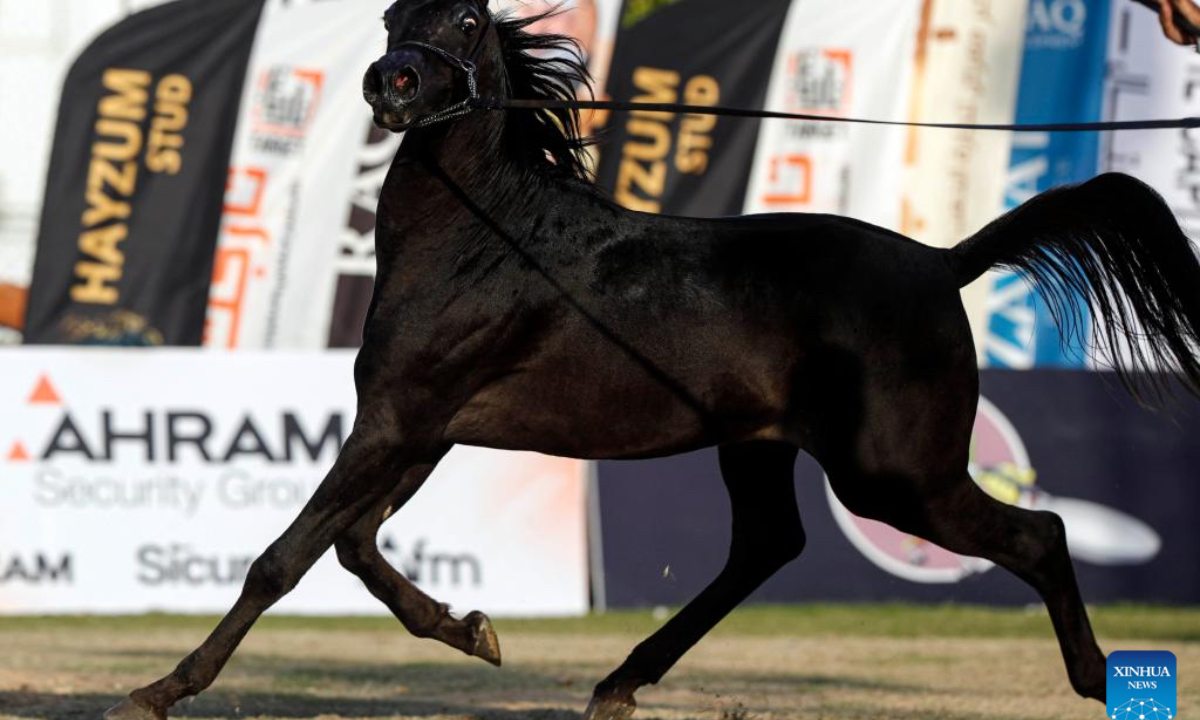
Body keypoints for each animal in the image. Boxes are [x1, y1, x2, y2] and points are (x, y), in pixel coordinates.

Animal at [104, 1, 1200, 719]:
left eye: (465, 20)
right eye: (387, 18)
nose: (391, 83)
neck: (487, 238)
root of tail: (941, 261)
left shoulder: (400, 421)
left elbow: (285, 557)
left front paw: (156, 691)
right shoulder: (424, 431)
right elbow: (356, 550)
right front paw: (475, 628)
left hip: (894, 472)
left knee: (1039, 533)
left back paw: (1097, 681)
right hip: (762, 446)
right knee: (766, 548)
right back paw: (617, 682)